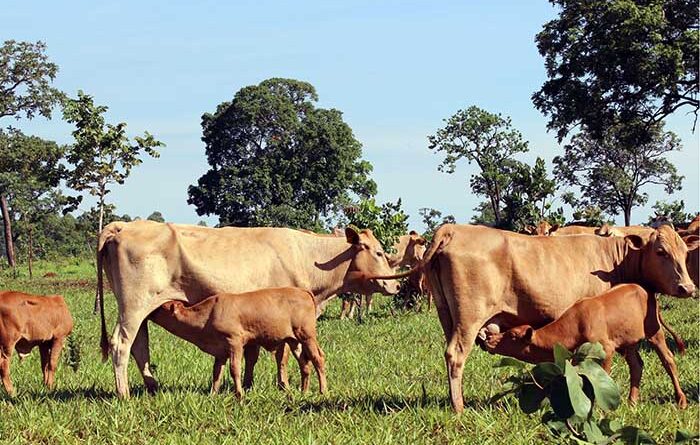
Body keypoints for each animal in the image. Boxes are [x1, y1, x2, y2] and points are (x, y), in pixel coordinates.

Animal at [148, 287, 326, 397]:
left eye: (162, 307)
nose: (150, 312)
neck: (208, 315)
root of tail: (302, 290)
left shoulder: (235, 342)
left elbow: (235, 369)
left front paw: (239, 395)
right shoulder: (220, 351)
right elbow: (216, 372)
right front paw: (213, 394)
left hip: (307, 335)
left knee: (318, 359)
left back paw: (323, 391)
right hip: (294, 340)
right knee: (304, 363)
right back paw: (304, 391)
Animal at [483, 284, 687, 408]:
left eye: (512, 335)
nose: (488, 339)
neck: (577, 323)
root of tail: (644, 289)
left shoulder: (606, 349)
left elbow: (601, 378)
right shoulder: (576, 357)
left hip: (654, 332)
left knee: (668, 361)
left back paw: (681, 400)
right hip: (628, 343)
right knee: (636, 366)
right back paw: (632, 402)